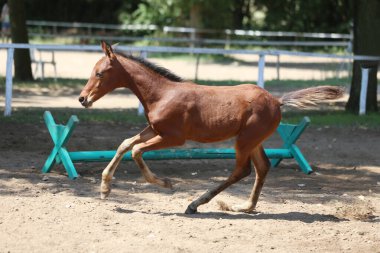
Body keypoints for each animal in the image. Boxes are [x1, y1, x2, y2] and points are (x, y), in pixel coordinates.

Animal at [78, 41, 342, 213]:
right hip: (253, 141)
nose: (82, 99)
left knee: (242, 170)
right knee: (263, 167)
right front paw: (104, 188)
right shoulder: (154, 130)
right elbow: (125, 144)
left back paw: (196, 204)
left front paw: (166, 184)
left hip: (244, 140)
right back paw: (245, 207)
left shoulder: (173, 137)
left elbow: (135, 151)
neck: (162, 94)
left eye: (100, 73)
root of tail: (277, 100)